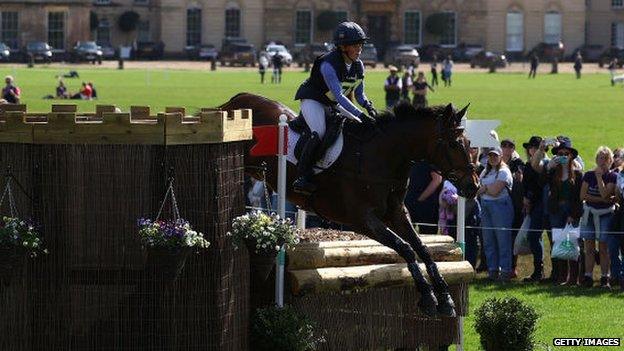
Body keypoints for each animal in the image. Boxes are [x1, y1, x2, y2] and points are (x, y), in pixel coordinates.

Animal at [222, 93, 480, 320]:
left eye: (469, 143)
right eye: (453, 144)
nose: (473, 186)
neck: (384, 156)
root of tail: (236, 100)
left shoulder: (396, 213)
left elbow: (422, 248)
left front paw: (445, 298)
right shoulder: (361, 219)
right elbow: (405, 248)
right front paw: (428, 298)